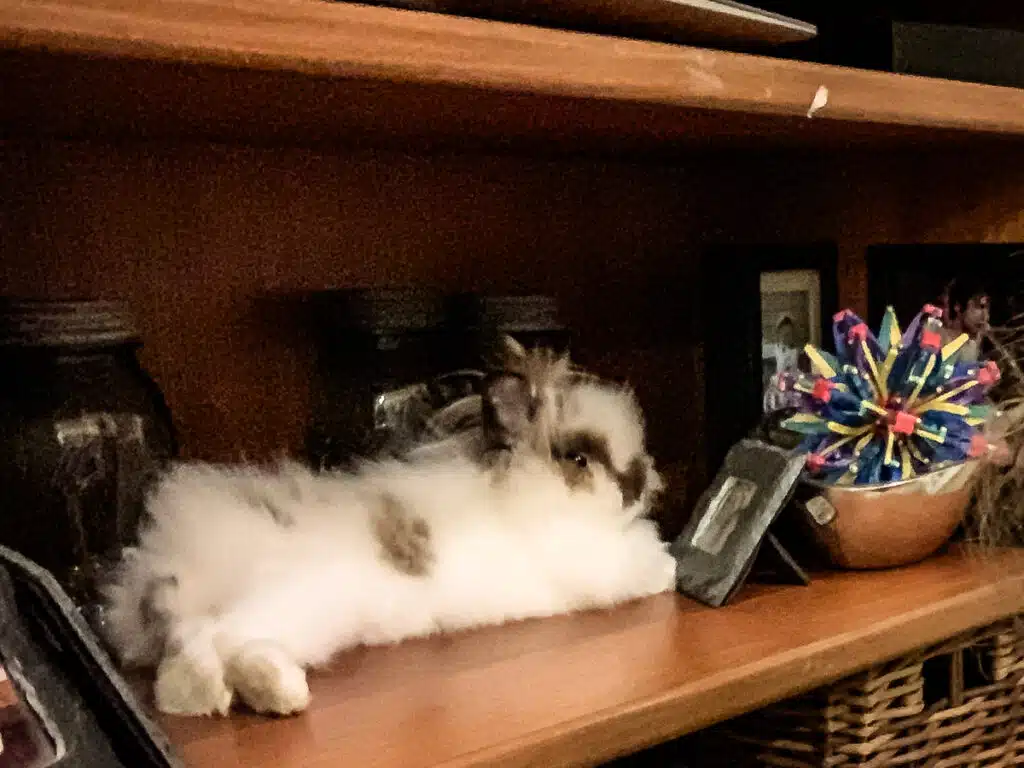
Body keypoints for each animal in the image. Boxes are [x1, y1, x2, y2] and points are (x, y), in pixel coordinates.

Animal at [101, 338, 676, 717]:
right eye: (579, 459)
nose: (640, 483)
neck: (520, 494)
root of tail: (167, 562)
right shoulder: (590, 565)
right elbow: (635, 564)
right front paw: (668, 566)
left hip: (304, 622)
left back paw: (268, 693)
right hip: (288, 600)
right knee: (198, 647)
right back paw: (273, 693)